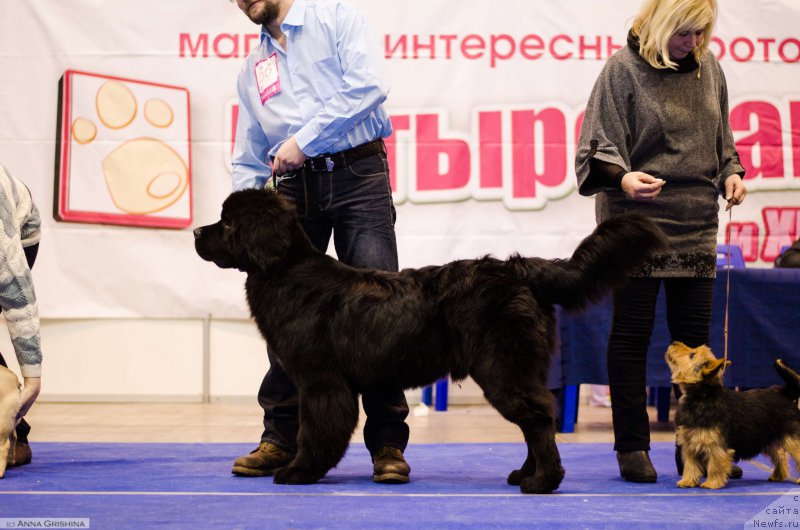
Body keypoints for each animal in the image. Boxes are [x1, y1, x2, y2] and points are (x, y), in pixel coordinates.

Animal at [195, 189, 668, 490]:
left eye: (228, 222)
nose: (197, 232)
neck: (287, 270)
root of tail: (517, 268)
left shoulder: (321, 382)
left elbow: (317, 430)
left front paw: (300, 471)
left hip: (502, 368)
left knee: (537, 418)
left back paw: (542, 482)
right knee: (540, 418)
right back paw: (525, 474)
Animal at [664, 340, 800, 488]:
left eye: (692, 355)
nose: (674, 342)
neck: (701, 396)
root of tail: (784, 393)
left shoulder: (715, 446)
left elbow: (715, 465)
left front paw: (712, 483)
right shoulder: (690, 445)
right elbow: (690, 465)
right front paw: (687, 481)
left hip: (791, 439)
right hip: (769, 438)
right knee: (780, 455)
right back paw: (778, 475)